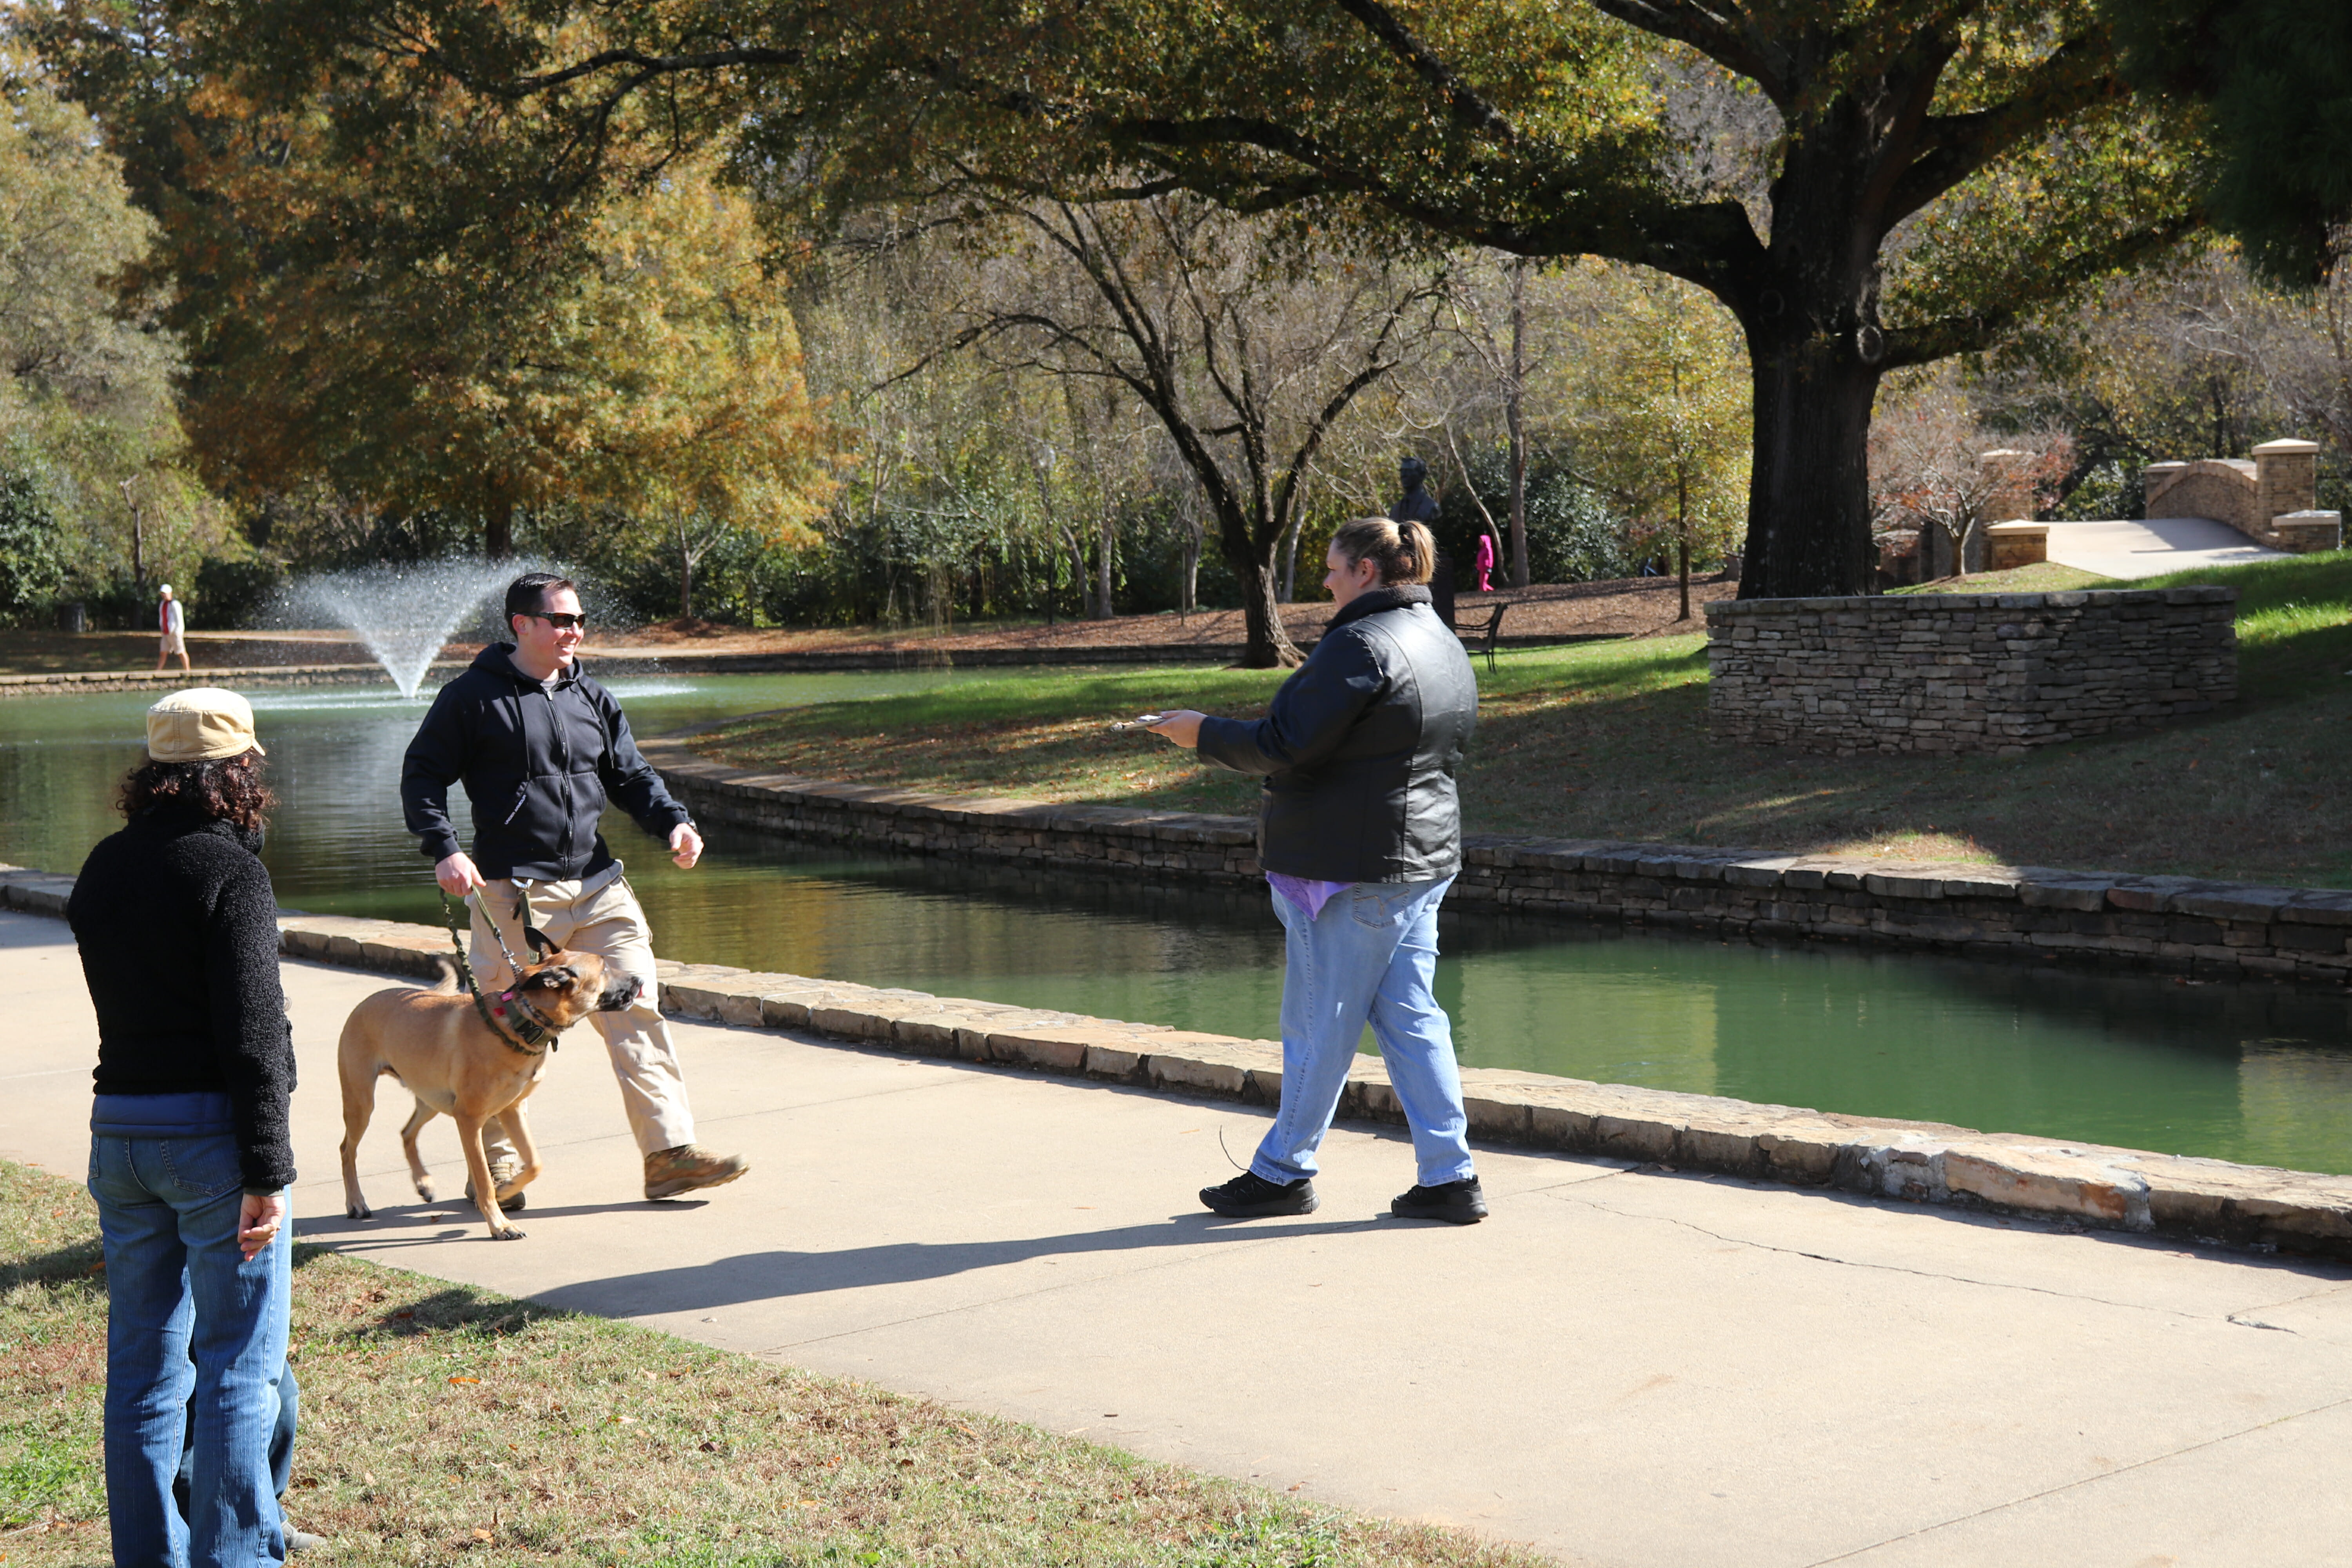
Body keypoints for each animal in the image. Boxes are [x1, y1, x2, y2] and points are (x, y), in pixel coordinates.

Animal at [337, 928, 642, 1240]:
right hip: (362, 1102)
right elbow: (483, 1179)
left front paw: (507, 1189)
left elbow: (535, 1163)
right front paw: (500, 1224)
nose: (640, 981)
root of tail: (365, 1003)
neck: (521, 1022)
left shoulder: (511, 1111)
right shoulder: (469, 1119)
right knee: (347, 1150)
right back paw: (356, 1203)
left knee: (407, 1133)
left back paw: (424, 1182)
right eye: (604, 968)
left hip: (432, 1100)